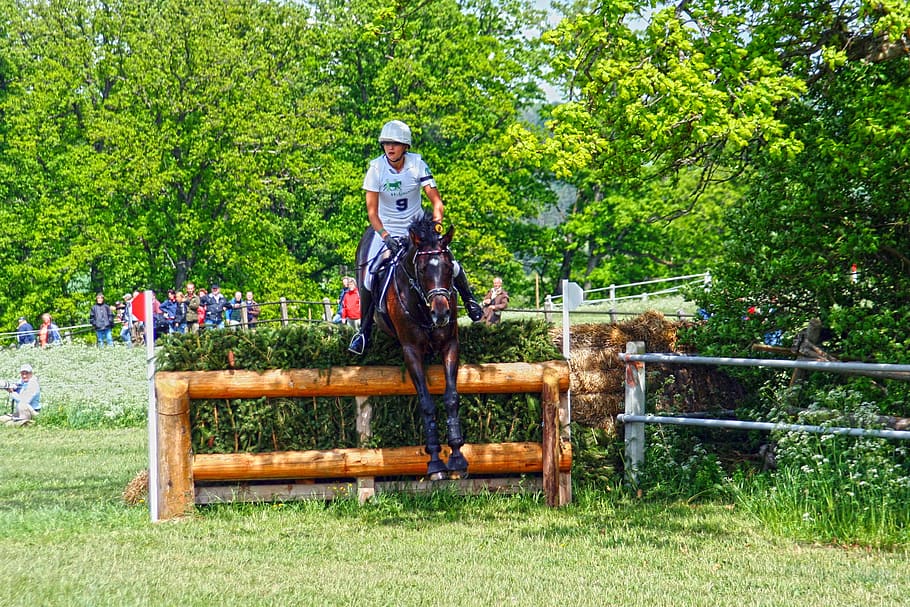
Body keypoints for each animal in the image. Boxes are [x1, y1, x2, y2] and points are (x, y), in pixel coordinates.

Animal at [354, 212, 469, 481]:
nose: (441, 313)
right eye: (423, 269)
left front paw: (457, 456)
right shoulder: (411, 351)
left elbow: (451, 397)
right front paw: (435, 463)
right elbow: (426, 403)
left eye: (449, 268)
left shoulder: (450, 345)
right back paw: (361, 337)